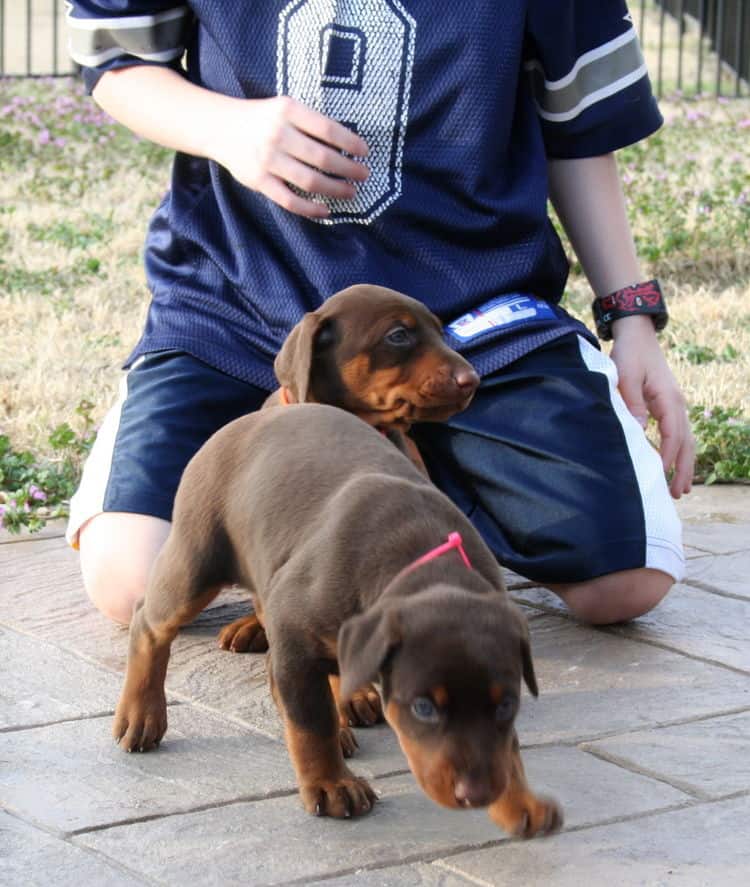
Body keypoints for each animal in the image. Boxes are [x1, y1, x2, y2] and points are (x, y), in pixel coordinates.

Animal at [113, 406, 564, 836]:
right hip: (197, 560)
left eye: (507, 705)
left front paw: (518, 802)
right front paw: (331, 785)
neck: (426, 562)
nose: (477, 794)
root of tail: (240, 422)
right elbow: (311, 724)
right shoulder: (294, 629)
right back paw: (141, 715)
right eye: (423, 708)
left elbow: (507, 748)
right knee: (149, 623)